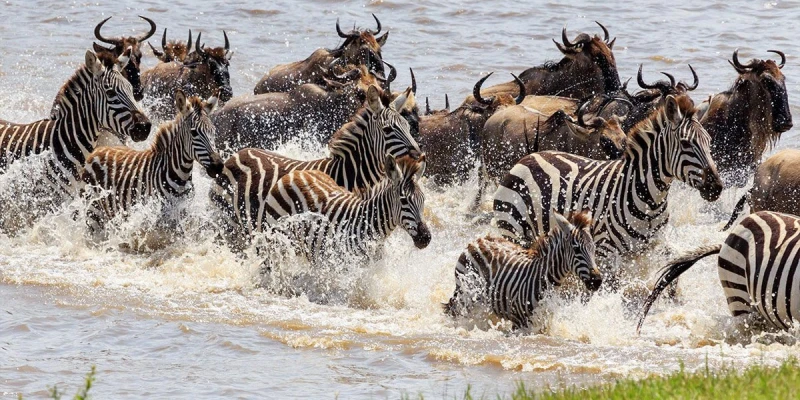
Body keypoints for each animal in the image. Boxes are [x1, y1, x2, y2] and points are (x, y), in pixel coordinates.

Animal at [81, 90, 222, 234]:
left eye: (213, 131)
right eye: (194, 133)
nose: (218, 166)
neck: (180, 176)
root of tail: (98, 150)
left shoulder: (181, 214)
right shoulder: (157, 218)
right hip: (94, 212)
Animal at [211, 85, 421, 246]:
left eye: (407, 126)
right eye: (388, 129)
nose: (419, 155)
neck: (345, 174)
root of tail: (237, 154)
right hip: (228, 222)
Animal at [444, 211, 602, 331]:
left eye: (594, 249)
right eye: (576, 249)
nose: (597, 281)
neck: (544, 279)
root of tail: (479, 240)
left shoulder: (542, 324)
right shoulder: (520, 324)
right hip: (464, 294)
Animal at [492, 93, 723, 261]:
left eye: (709, 141)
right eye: (685, 143)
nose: (717, 186)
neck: (650, 201)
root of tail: (529, 157)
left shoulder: (652, 248)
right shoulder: (605, 252)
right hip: (513, 231)